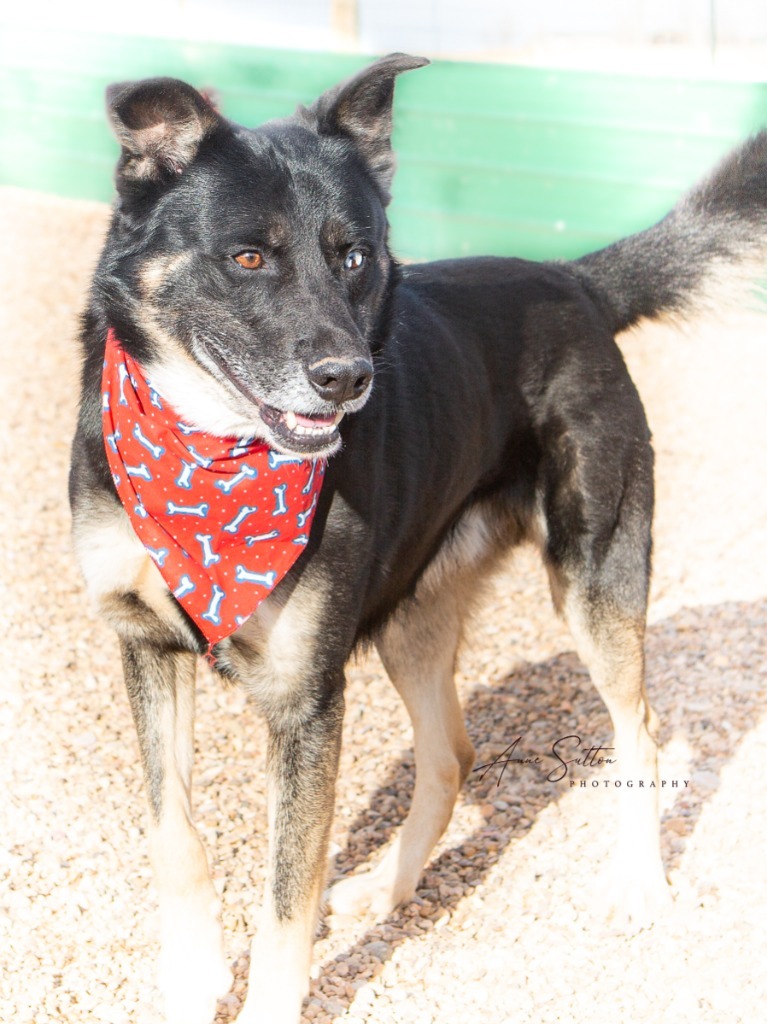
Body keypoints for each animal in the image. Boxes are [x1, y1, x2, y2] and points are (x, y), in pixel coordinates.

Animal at [68, 54, 765, 1024]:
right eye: (248, 256)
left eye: (354, 256)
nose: (347, 378)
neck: (213, 458)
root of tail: (576, 280)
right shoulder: (143, 646)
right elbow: (175, 834)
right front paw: (194, 980)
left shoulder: (306, 699)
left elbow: (285, 899)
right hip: (411, 615)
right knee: (451, 755)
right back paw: (389, 889)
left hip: (595, 577)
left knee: (641, 725)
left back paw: (636, 881)